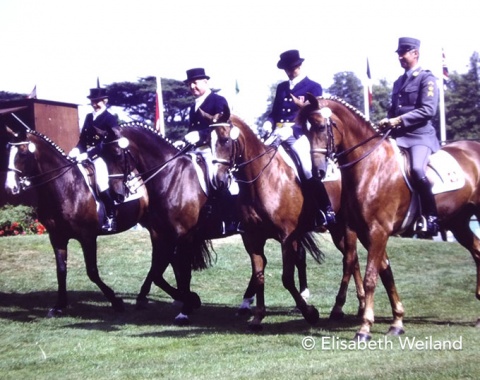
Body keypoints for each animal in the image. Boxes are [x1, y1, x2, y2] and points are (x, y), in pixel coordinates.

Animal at [2, 126, 150, 316]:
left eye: (22, 153)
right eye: (7, 151)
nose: (9, 188)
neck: (66, 187)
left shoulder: (87, 237)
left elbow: (92, 272)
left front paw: (116, 301)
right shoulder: (57, 237)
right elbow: (61, 270)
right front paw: (59, 306)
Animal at [209, 113, 364, 330]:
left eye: (224, 140)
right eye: (208, 141)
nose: (217, 181)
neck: (263, 179)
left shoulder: (287, 238)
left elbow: (287, 279)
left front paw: (310, 313)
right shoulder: (252, 239)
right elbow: (259, 275)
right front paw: (258, 317)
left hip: (344, 227)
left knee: (349, 259)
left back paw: (340, 308)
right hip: (336, 231)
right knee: (354, 259)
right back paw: (361, 304)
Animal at [296, 93, 480, 340]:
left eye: (319, 126)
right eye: (304, 132)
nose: (318, 172)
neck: (371, 166)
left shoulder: (378, 231)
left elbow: (371, 278)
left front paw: (364, 328)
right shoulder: (363, 232)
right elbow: (385, 273)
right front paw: (397, 322)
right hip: (458, 221)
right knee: (477, 250)